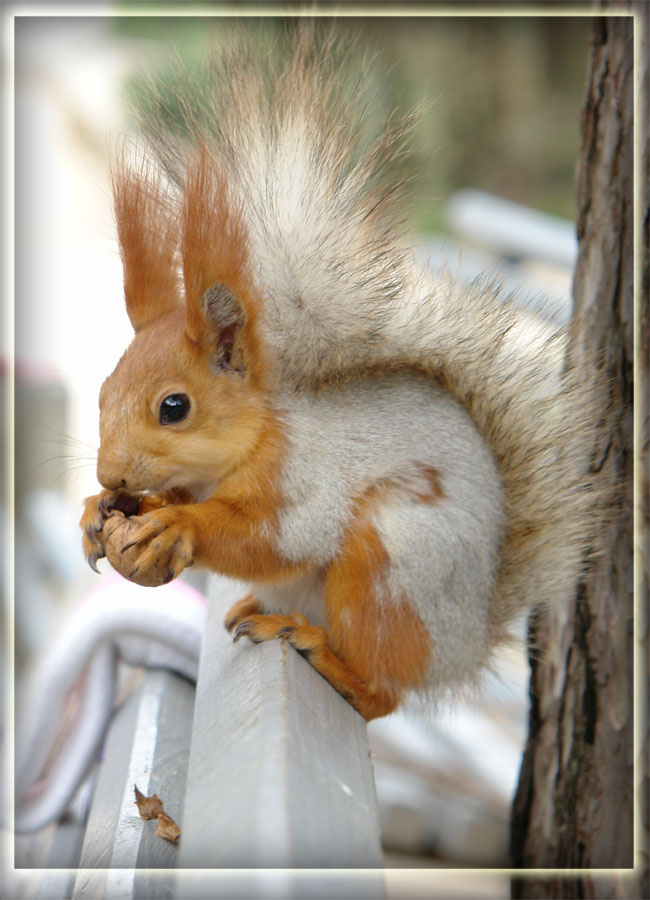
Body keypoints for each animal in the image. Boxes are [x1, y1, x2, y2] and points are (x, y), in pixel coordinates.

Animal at [80, 24, 598, 721]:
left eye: (174, 407)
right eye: (103, 392)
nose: (110, 474)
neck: (250, 443)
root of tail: (464, 648)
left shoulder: (311, 480)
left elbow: (276, 539)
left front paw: (178, 525)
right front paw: (100, 512)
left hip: (390, 571)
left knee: (383, 694)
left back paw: (322, 654)